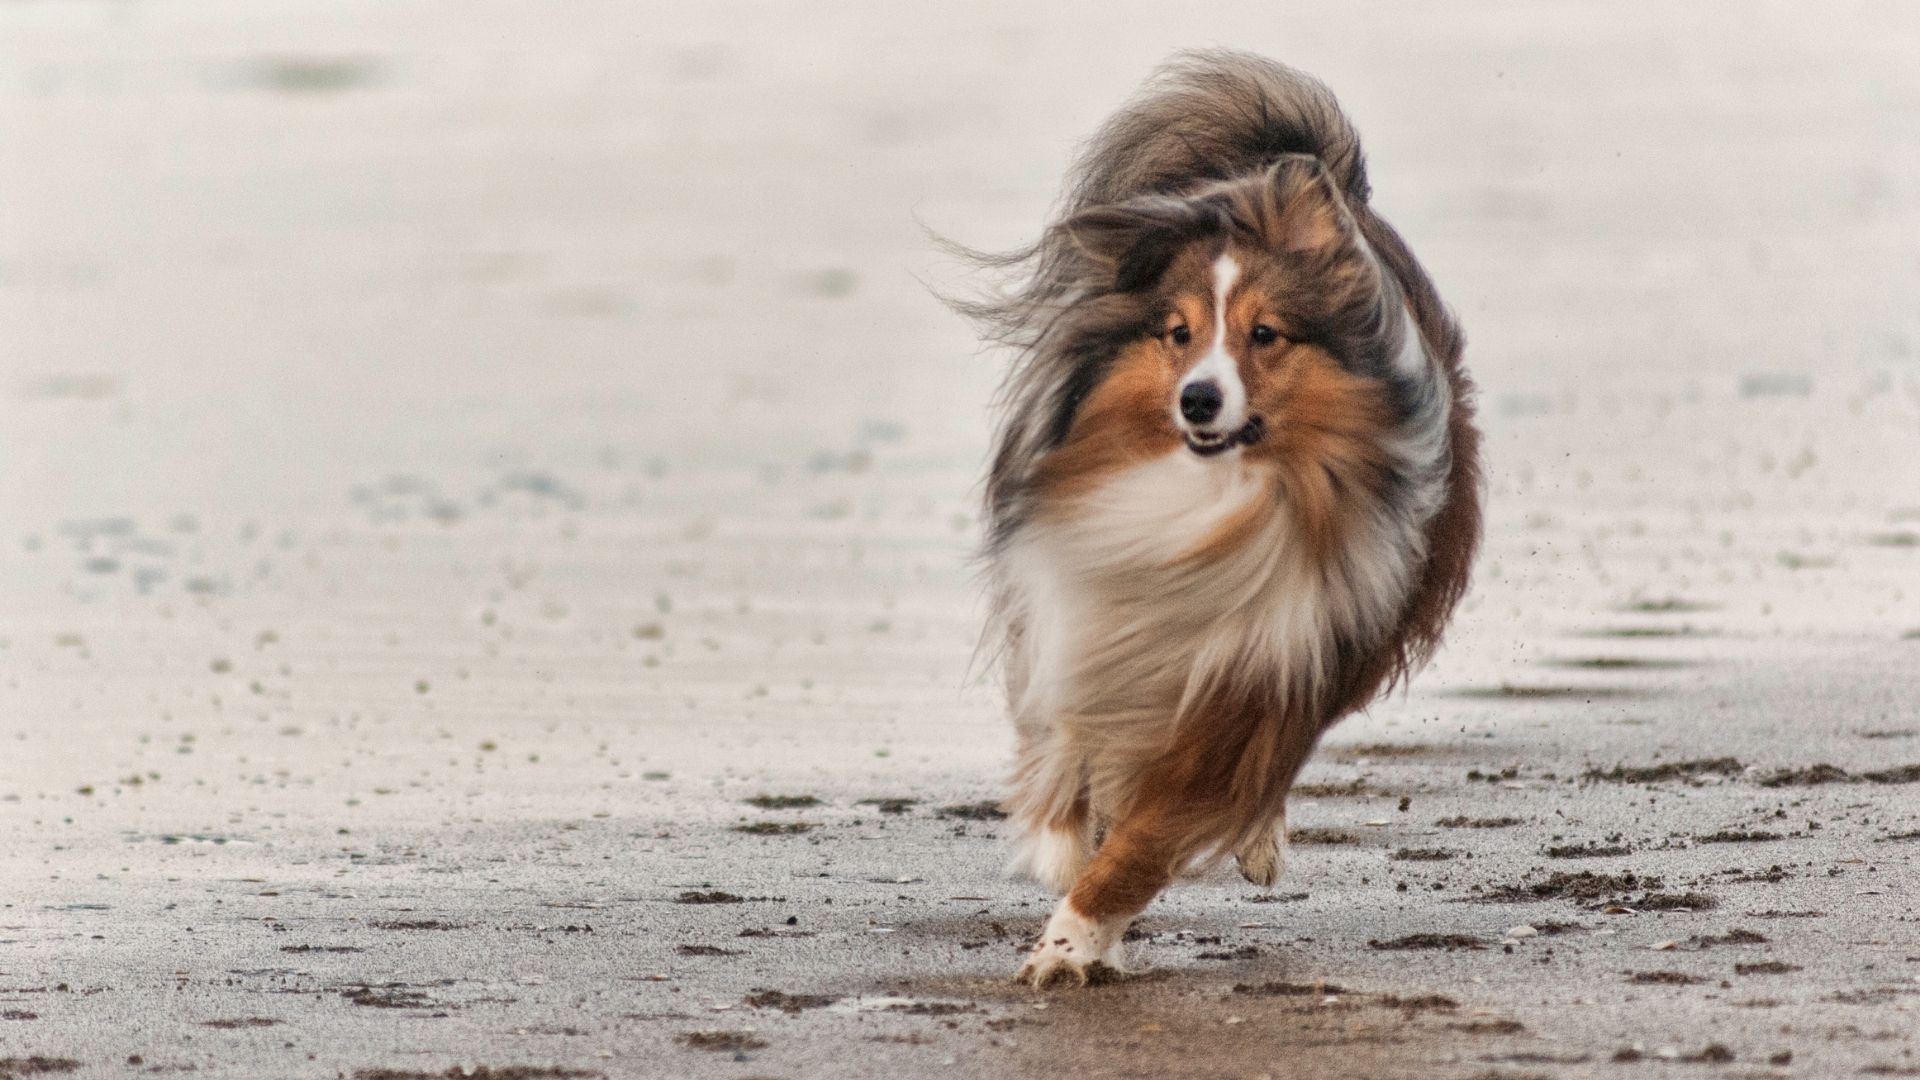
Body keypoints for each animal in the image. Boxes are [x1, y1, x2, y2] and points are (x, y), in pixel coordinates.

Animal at [960, 54, 1482, 991]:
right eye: (1177, 333)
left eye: (1265, 335)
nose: (1198, 400)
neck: (1211, 501)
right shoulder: (1084, 623)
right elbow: (1070, 753)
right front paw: (1063, 849)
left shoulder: (1265, 671)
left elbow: (1149, 836)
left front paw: (1071, 943)